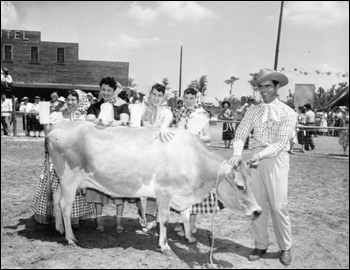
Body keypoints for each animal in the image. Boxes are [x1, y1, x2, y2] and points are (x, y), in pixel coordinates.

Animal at [45, 121, 260, 256]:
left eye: (251, 181)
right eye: (240, 186)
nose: (258, 211)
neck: (193, 159)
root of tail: (57, 126)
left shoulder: (182, 195)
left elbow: (185, 215)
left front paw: (189, 237)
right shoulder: (164, 192)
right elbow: (164, 219)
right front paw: (165, 246)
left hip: (63, 180)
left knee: (56, 198)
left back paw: (58, 228)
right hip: (70, 178)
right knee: (65, 205)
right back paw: (71, 237)